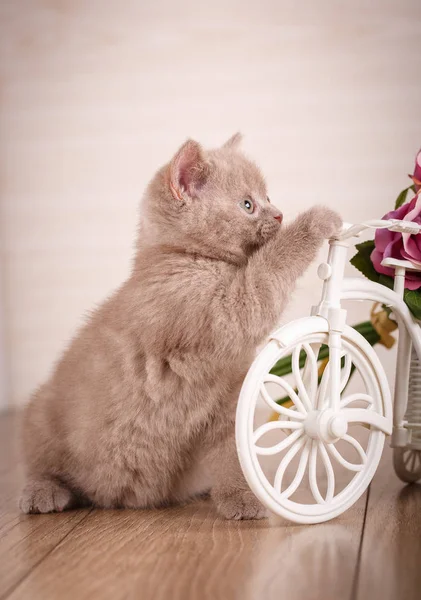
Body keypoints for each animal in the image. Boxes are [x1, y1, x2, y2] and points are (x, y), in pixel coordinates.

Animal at [20, 134, 342, 516]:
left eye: (267, 197)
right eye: (248, 204)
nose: (278, 213)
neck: (186, 258)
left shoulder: (228, 400)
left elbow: (232, 453)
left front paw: (240, 496)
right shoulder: (221, 310)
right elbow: (268, 269)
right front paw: (317, 219)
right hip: (42, 412)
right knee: (40, 461)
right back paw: (43, 491)